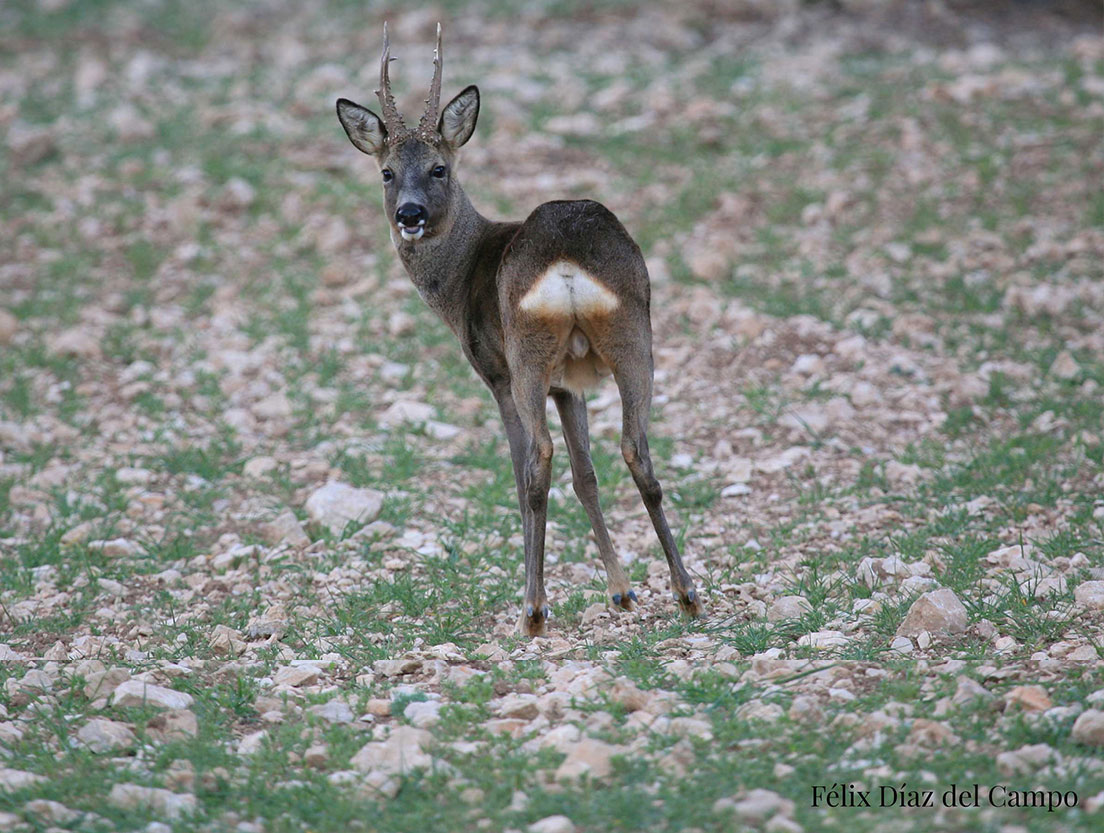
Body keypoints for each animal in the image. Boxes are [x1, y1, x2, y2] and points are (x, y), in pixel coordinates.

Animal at [331, 22, 702, 635]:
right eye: (386, 172)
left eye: (439, 168)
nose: (409, 214)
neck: (461, 278)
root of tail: (566, 265)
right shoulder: (569, 383)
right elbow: (586, 474)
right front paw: (621, 591)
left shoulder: (496, 372)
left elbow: (521, 467)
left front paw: (554, 596)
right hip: (634, 338)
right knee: (636, 451)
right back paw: (687, 591)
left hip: (528, 355)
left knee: (536, 463)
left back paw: (531, 610)